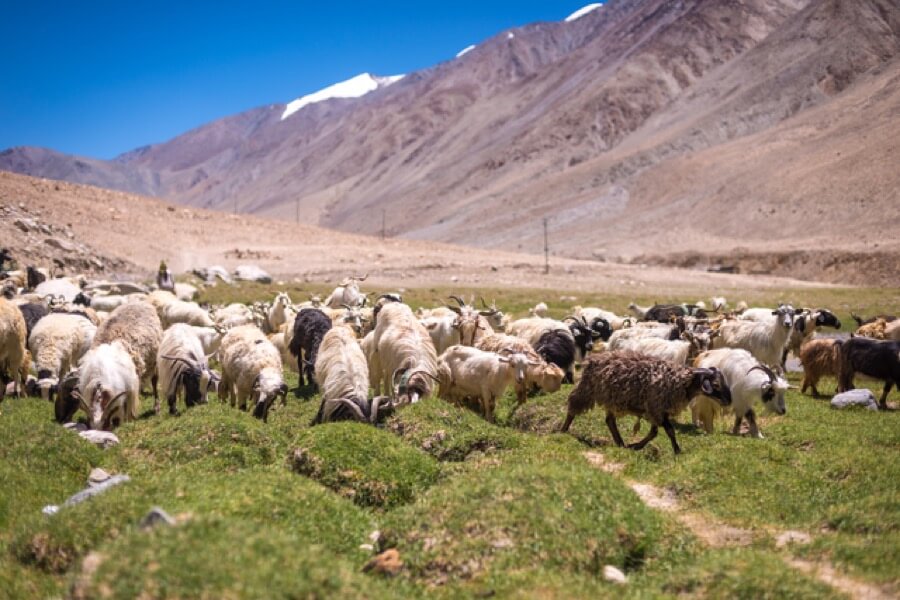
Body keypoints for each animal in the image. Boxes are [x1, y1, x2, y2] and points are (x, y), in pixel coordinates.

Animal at [564, 352, 732, 454]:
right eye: (715, 384)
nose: (729, 400)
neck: (680, 381)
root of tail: (594, 359)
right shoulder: (656, 408)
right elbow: (669, 431)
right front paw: (677, 451)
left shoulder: (658, 411)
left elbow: (654, 433)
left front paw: (636, 446)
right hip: (586, 390)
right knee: (573, 408)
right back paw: (563, 429)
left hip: (611, 398)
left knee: (610, 421)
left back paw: (620, 443)